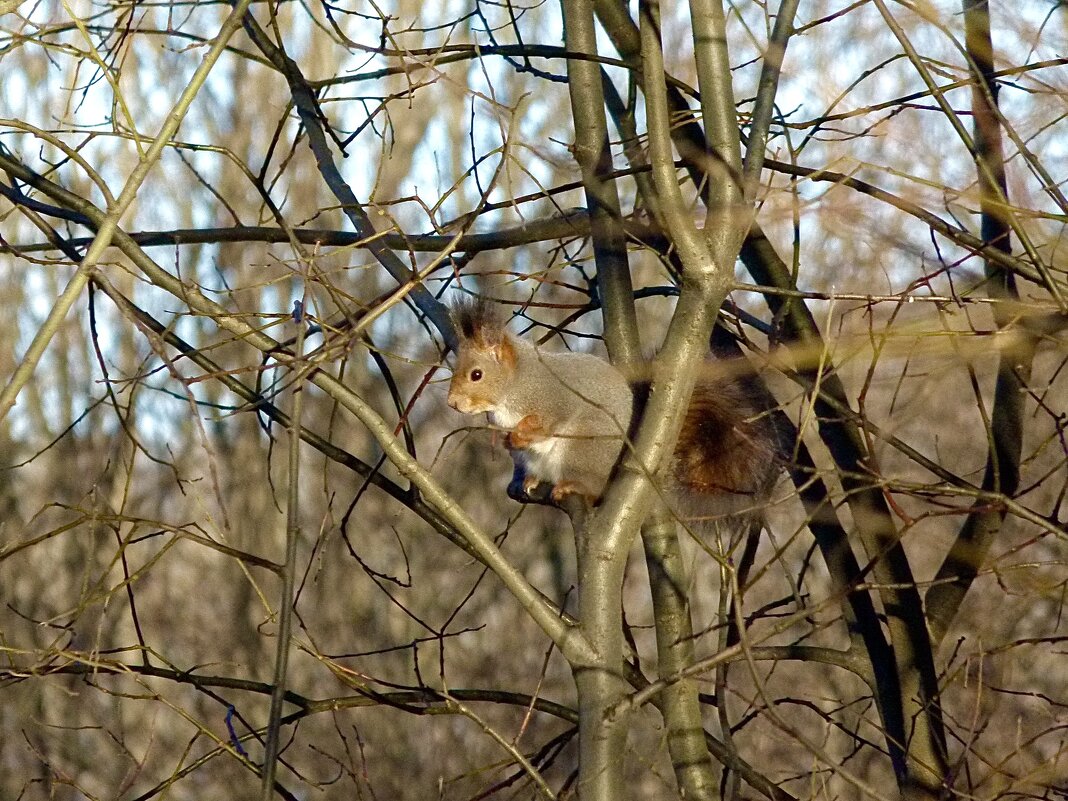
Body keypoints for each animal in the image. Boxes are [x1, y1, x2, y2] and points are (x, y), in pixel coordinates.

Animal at [446, 299, 781, 523]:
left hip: (584, 449)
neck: (513, 387)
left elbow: (546, 424)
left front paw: (520, 434)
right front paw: (507, 440)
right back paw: (531, 480)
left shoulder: (554, 398)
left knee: (591, 487)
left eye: (476, 375)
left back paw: (572, 485)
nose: (452, 403)